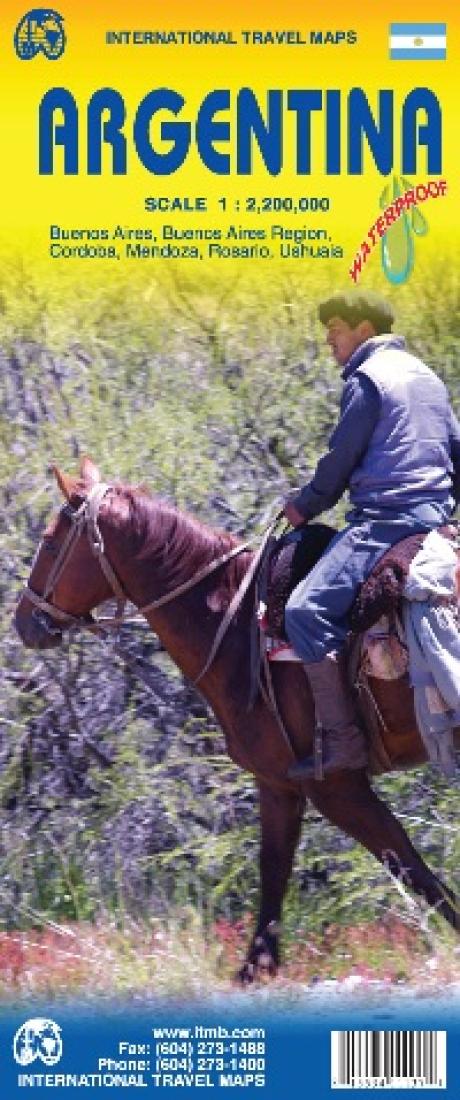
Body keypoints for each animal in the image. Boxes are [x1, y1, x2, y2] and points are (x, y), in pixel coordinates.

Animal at [15, 455, 459, 981]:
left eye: (51, 541)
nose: (23, 622)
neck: (237, 621)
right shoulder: (280, 783)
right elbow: (275, 867)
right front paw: (257, 967)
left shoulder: (334, 785)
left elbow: (408, 865)